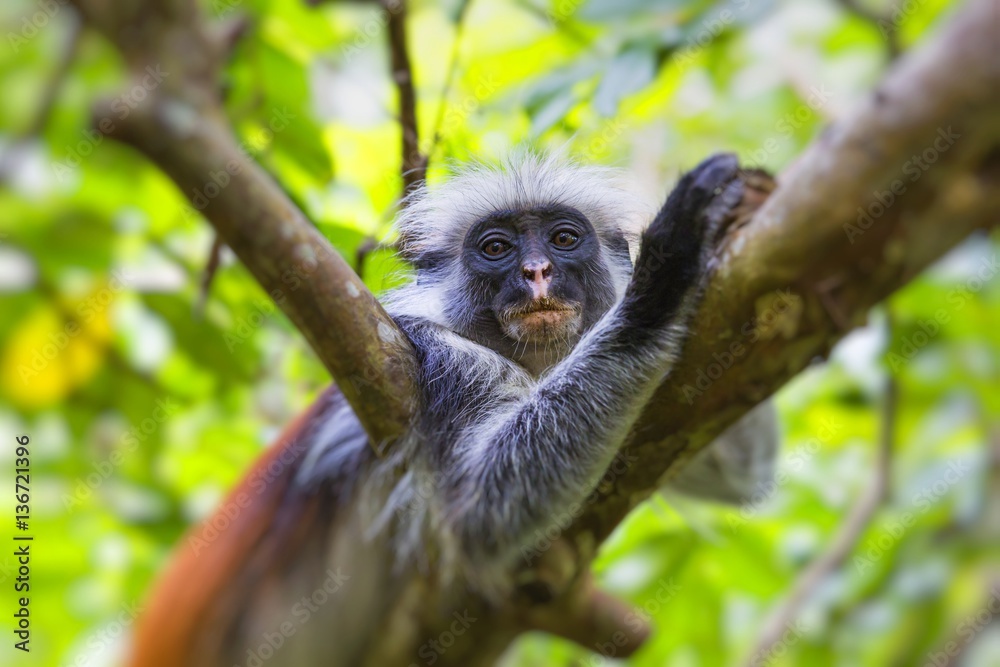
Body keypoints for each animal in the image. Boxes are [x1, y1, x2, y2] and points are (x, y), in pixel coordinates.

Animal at [128, 151, 776, 667]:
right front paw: (665, 271)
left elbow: (737, 475)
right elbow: (480, 515)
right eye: (496, 248)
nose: (536, 272)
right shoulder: (431, 354)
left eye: (564, 240)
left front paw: (739, 214)